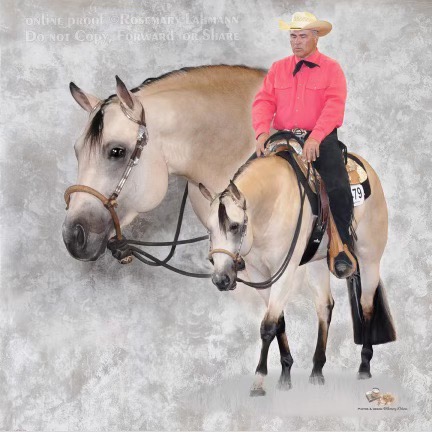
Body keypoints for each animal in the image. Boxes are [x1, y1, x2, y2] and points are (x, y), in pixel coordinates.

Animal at [199, 148, 394, 394]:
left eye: (234, 226)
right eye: (209, 229)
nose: (221, 279)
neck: (271, 206)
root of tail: (368, 170)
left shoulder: (284, 271)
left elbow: (268, 325)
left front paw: (259, 380)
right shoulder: (260, 274)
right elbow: (278, 321)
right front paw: (285, 375)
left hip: (370, 259)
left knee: (366, 305)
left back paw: (364, 367)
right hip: (317, 264)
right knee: (325, 306)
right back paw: (317, 371)